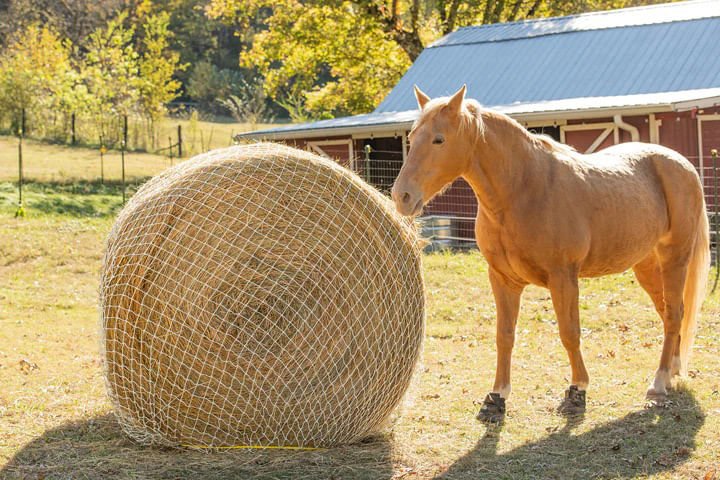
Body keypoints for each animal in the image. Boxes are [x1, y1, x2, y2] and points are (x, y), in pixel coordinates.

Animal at [394, 86, 708, 420]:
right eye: (412, 137)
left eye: (439, 139)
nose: (402, 196)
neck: (523, 190)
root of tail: (682, 165)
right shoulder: (502, 280)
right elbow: (504, 336)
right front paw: (496, 396)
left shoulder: (563, 278)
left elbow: (569, 333)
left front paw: (577, 391)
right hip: (646, 265)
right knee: (668, 312)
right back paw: (672, 372)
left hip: (675, 258)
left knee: (674, 314)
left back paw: (659, 382)